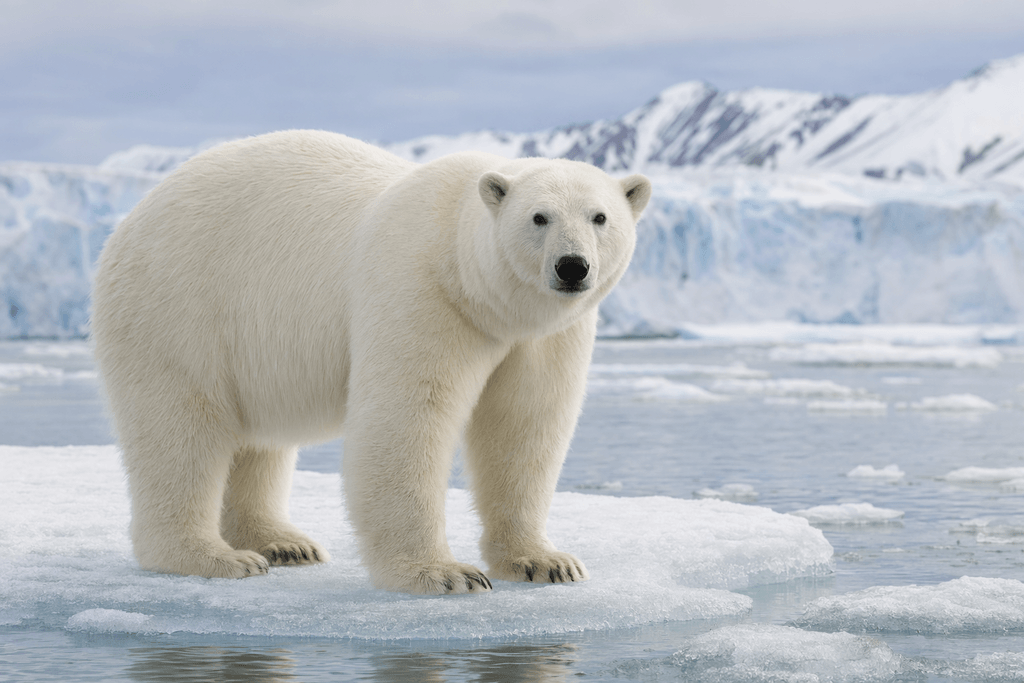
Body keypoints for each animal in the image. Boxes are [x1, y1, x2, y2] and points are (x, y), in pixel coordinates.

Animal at [91, 130, 651, 594]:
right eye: (539, 217)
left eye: (600, 217)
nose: (572, 267)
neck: (472, 283)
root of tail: (129, 222)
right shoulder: (421, 292)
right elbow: (408, 417)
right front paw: (444, 574)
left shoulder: (543, 337)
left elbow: (525, 425)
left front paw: (546, 562)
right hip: (179, 308)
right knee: (181, 430)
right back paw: (215, 558)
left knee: (258, 439)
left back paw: (284, 543)